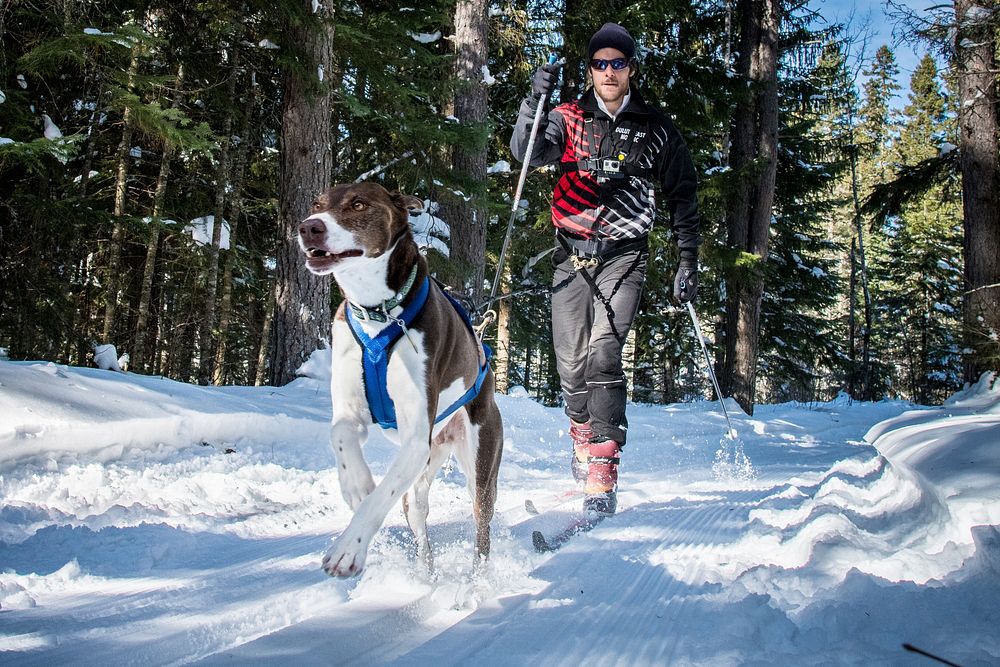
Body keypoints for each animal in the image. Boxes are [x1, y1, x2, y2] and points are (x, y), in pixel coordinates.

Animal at [294, 180, 500, 576]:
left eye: (359, 204)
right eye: (316, 204)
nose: (309, 227)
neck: (377, 310)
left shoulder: (415, 439)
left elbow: (380, 498)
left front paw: (349, 549)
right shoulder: (352, 413)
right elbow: (341, 436)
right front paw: (357, 486)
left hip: (479, 461)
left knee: (482, 525)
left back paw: (479, 582)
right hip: (426, 467)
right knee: (416, 510)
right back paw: (425, 574)